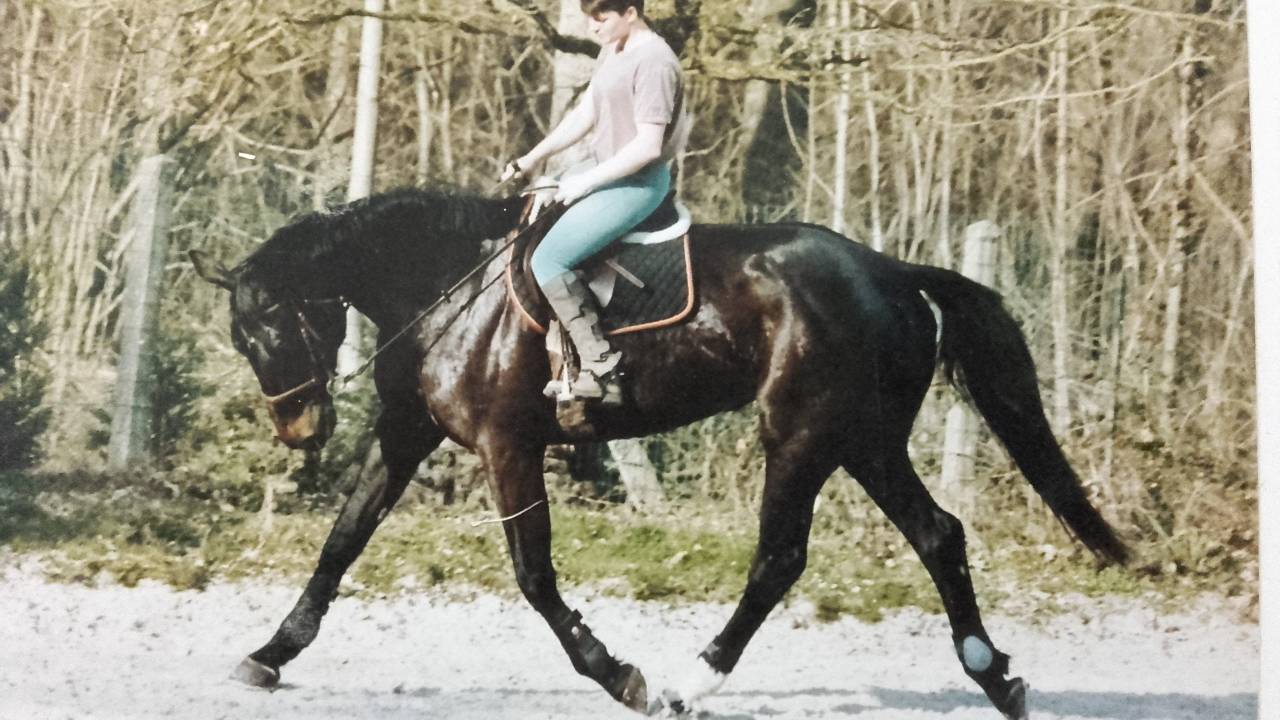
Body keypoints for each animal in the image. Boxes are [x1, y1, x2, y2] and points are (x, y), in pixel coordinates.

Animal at [190, 186, 1128, 719]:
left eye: (272, 327)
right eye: (241, 336)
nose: (300, 429)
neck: (450, 286)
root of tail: (890, 271)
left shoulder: (507, 445)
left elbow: (535, 576)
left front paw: (619, 675)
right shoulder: (405, 434)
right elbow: (342, 542)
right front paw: (269, 654)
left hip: (802, 435)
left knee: (780, 558)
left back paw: (692, 681)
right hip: (863, 440)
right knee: (939, 535)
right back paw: (995, 677)